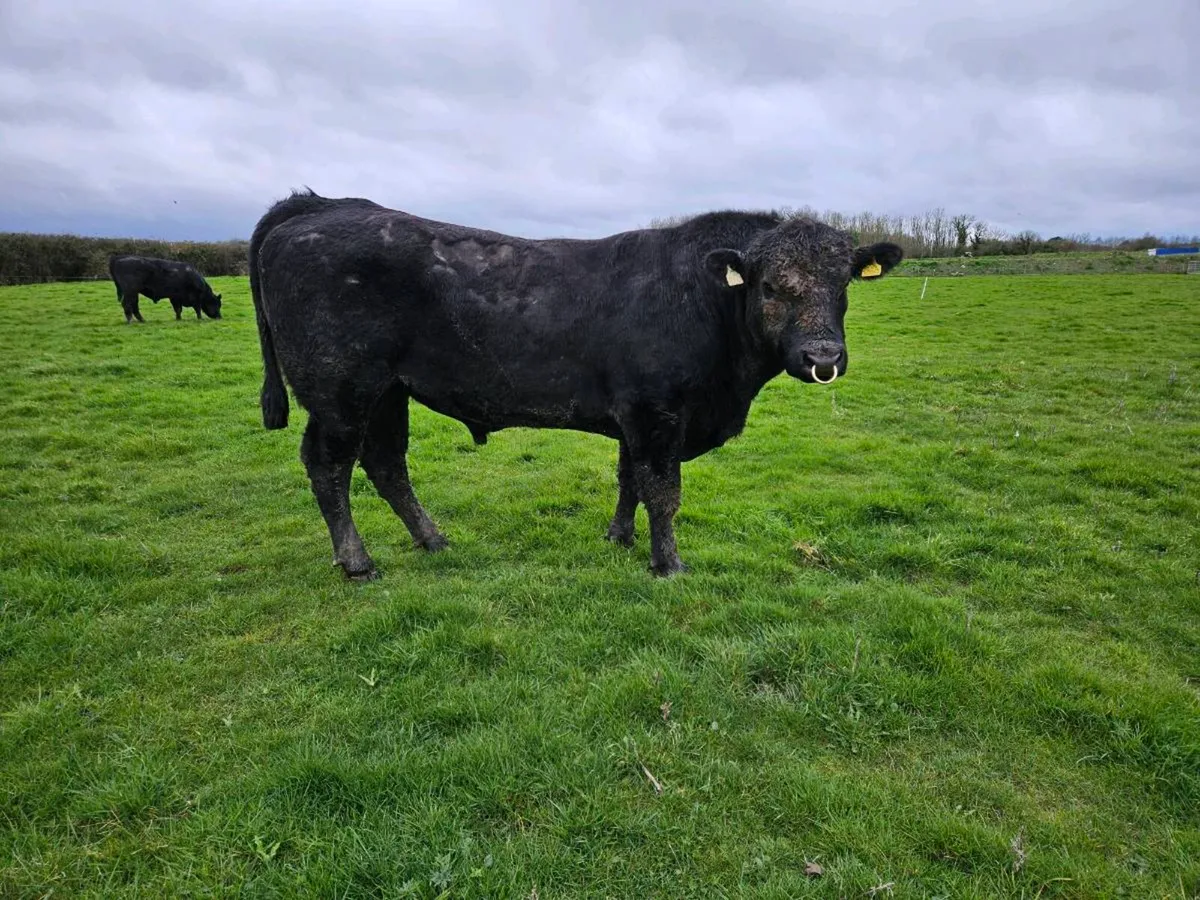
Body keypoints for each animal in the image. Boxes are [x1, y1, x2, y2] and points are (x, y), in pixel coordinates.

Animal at [249, 189, 903, 581]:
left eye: (844, 281)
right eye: (770, 285)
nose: (823, 357)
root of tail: (321, 206)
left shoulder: (636, 417)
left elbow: (630, 481)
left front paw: (619, 538)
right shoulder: (657, 412)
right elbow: (663, 491)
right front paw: (668, 565)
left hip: (389, 392)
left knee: (386, 465)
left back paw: (433, 540)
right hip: (342, 391)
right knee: (329, 465)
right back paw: (357, 562)